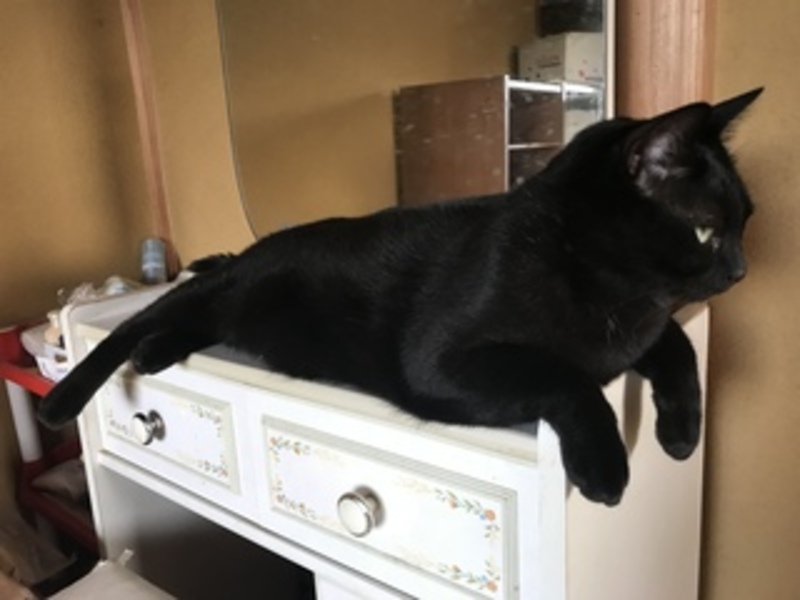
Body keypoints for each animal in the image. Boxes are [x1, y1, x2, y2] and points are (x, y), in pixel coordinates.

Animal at [38, 88, 762, 506]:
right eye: (707, 229)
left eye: (745, 222)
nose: (740, 272)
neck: (606, 289)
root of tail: (249, 249)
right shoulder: (442, 364)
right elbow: (567, 378)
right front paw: (606, 468)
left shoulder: (642, 328)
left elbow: (676, 350)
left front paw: (681, 435)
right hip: (224, 289)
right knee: (132, 324)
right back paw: (64, 398)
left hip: (226, 306)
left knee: (186, 324)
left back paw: (158, 355)